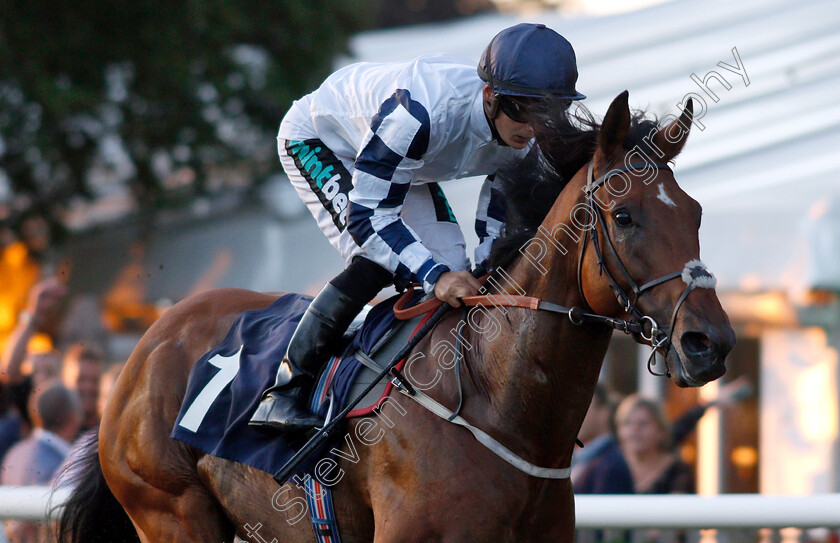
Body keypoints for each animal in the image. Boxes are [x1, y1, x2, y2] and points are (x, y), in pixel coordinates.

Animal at [55, 91, 736, 540]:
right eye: (624, 216)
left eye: (698, 213)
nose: (711, 342)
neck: (496, 398)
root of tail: (149, 343)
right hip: (171, 511)